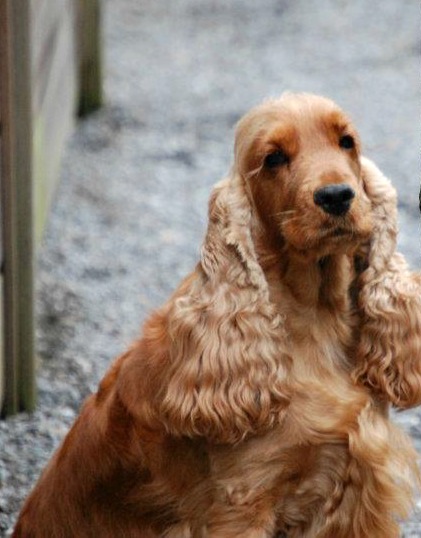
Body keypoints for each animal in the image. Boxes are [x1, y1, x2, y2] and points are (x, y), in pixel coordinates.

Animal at [13, 94, 420, 532]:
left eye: (347, 142)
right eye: (273, 158)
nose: (336, 196)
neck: (315, 315)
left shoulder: (357, 493)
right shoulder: (242, 502)